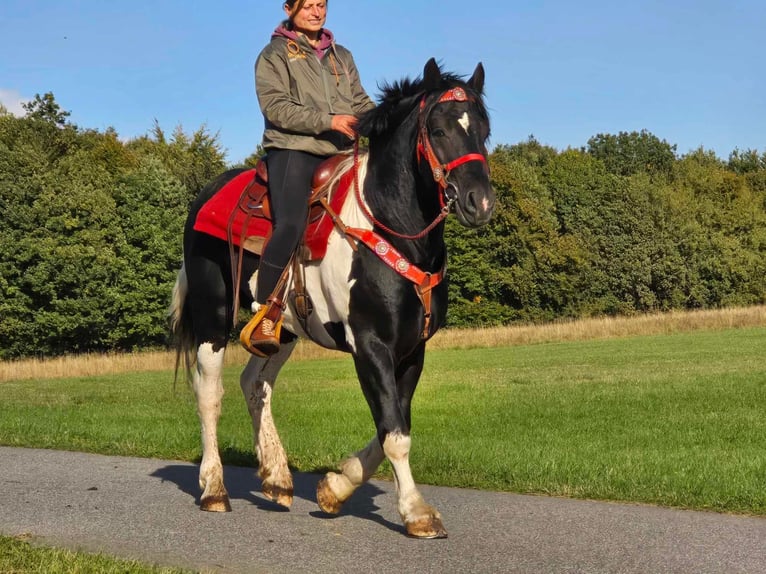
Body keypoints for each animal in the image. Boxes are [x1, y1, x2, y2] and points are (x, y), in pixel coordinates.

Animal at [170, 59, 498, 540]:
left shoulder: (412, 350)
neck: (386, 224)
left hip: (280, 331)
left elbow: (392, 424)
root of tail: (205, 196)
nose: (481, 202)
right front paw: (416, 512)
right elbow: (395, 434)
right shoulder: (370, 345)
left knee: (255, 384)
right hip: (214, 317)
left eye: (484, 131)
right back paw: (214, 488)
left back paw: (277, 477)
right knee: (209, 392)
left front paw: (335, 488)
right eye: (438, 130)